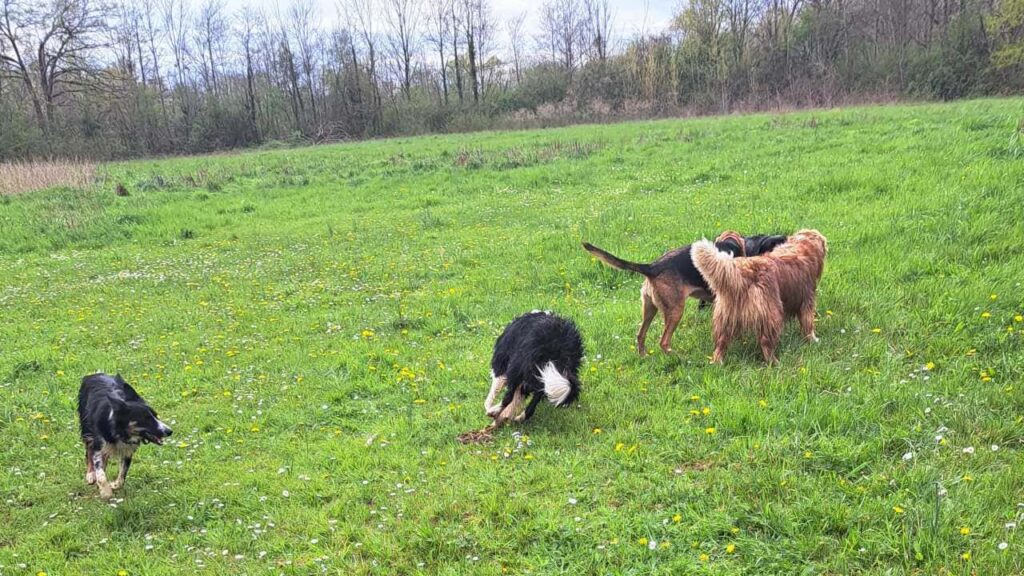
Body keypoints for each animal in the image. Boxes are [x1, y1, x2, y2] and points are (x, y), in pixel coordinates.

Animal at [688, 228, 823, 362]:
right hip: (772, 314)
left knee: (721, 343)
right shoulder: (807, 300)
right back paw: (774, 362)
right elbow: (808, 324)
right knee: (765, 342)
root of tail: (743, 272)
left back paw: (717, 361)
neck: (801, 246)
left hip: (725, 318)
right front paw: (813, 340)